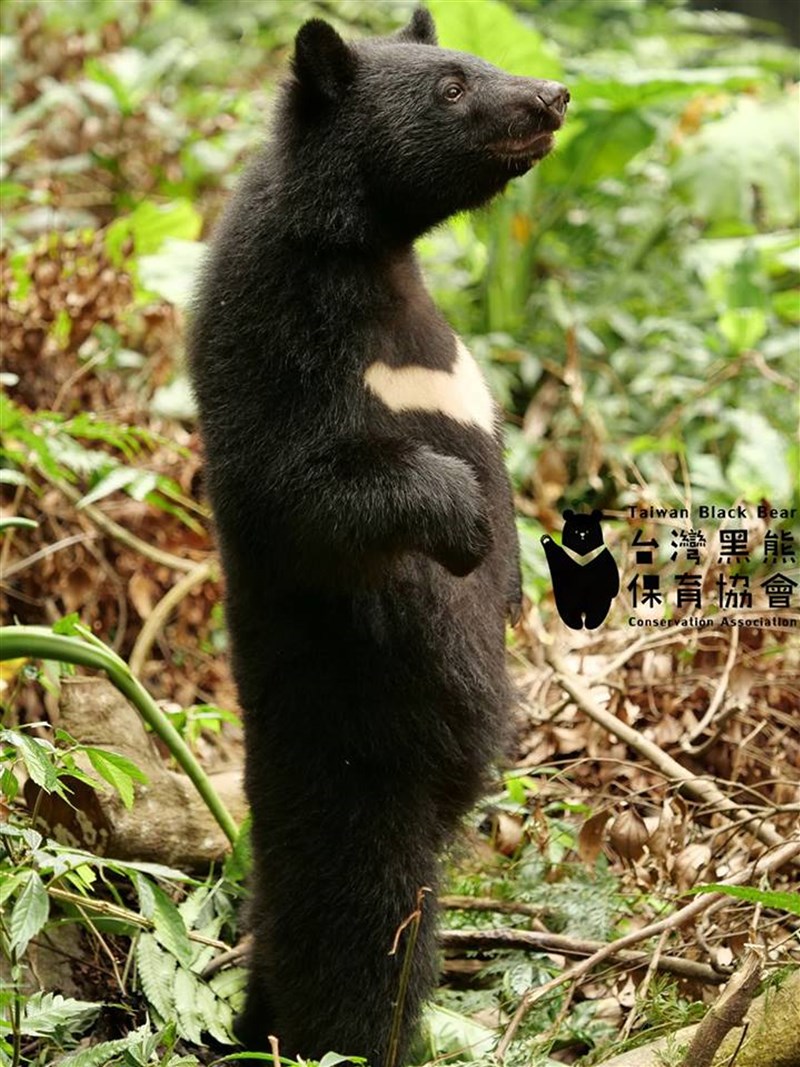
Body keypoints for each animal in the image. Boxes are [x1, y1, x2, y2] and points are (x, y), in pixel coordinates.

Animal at [188, 9, 568, 1064]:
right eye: (452, 86)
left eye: (479, 61)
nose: (553, 95)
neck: (374, 256)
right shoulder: (279, 338)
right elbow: (307, 488)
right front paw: (467, 532)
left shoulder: (455, 364)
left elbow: (495, 452)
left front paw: (510, 578)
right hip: (366, 757)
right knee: (370, 931)